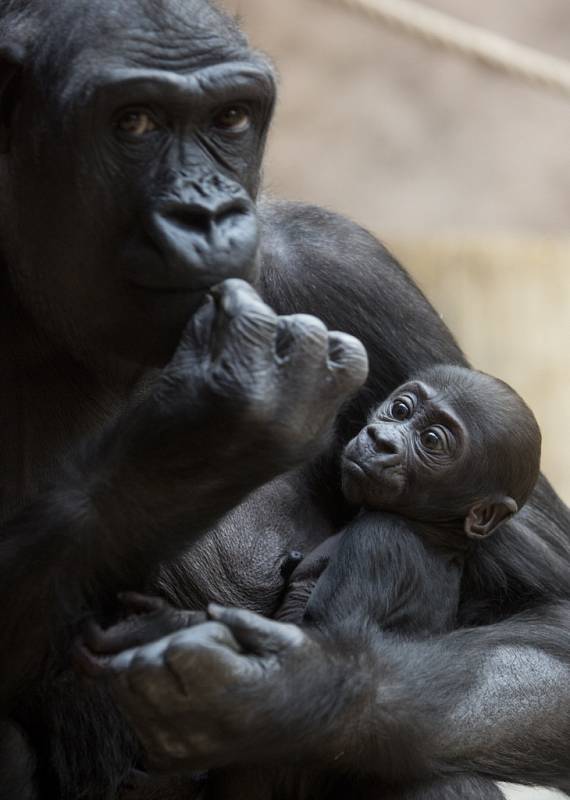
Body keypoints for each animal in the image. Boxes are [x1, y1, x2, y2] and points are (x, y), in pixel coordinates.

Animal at [0, 1, 564, 800]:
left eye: (230, 117)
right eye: (134, 122)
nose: (208, 214)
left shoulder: (343, 261)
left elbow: (552, 616)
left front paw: (283, 695)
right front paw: (205, 430)